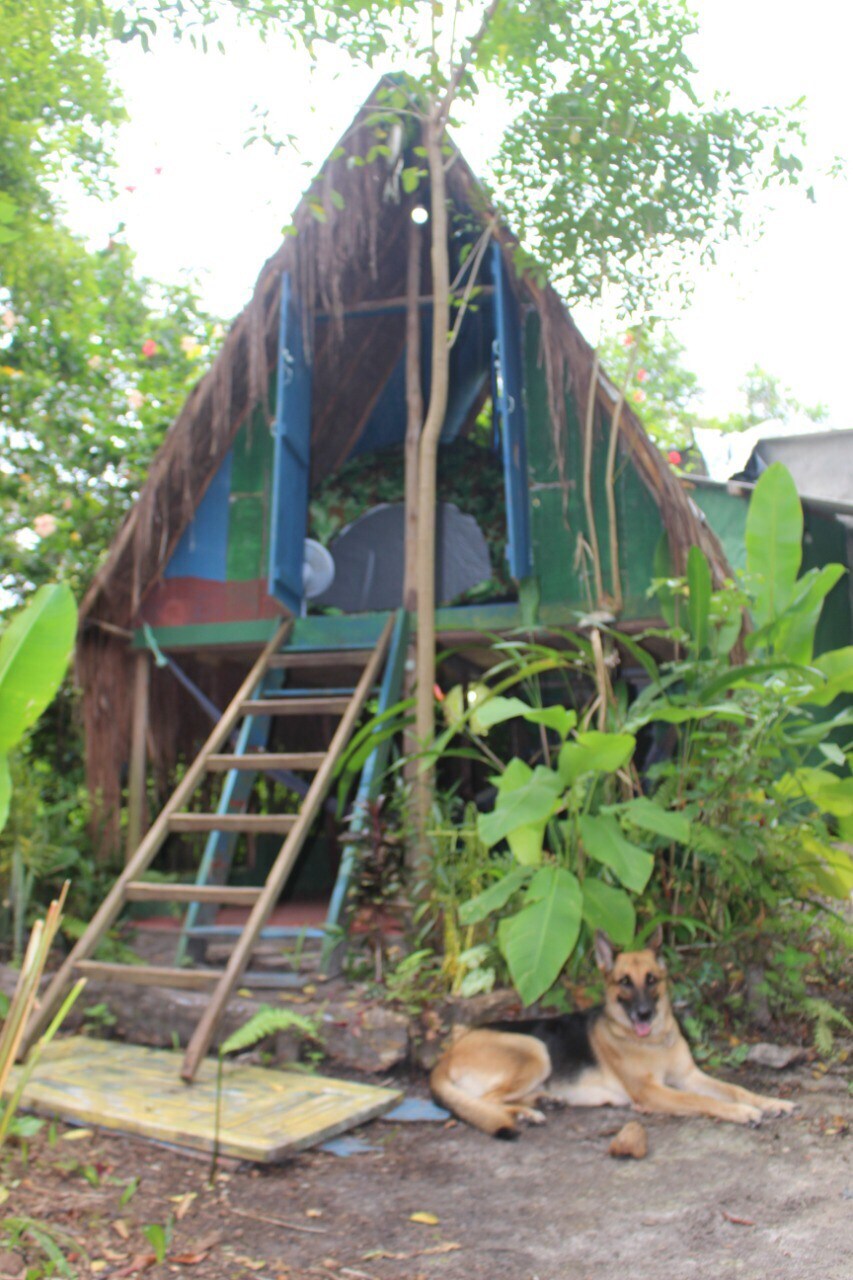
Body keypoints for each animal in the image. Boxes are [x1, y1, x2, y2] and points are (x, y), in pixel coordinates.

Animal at [427, 926, 794, 1136]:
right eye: (624, 983)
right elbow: (704, 1101)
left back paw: (545, 1100)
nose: (644, 1013)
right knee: (485, 1101)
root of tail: (446, 1056)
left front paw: (769, 1101)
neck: (653, 1041)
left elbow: (735, 1088)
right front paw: (743, 1112)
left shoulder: (690, 1076)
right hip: (535, 1049)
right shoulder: (653, 1092)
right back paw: (526, 1113)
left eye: (651, 980)